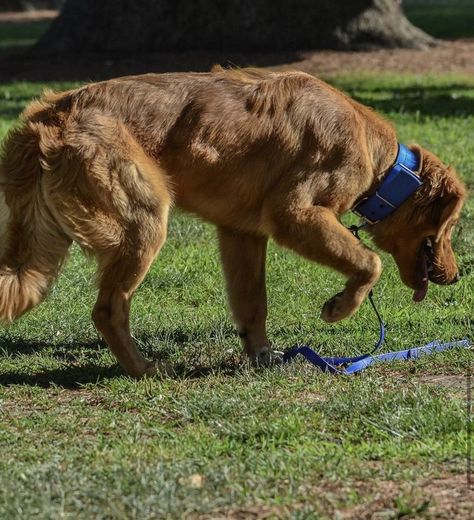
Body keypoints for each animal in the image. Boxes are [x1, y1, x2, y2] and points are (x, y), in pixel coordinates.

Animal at [0, 69, 466, 378]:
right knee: (108, 309)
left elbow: (253, 304)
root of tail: (47, 117)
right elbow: (370, 262)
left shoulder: (242, 233)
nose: (458, 276)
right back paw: (144, 368)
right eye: (451, 226)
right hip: (146, 221)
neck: (385, 166)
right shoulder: (293, 214)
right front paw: (340, 306)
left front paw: (261, 355)